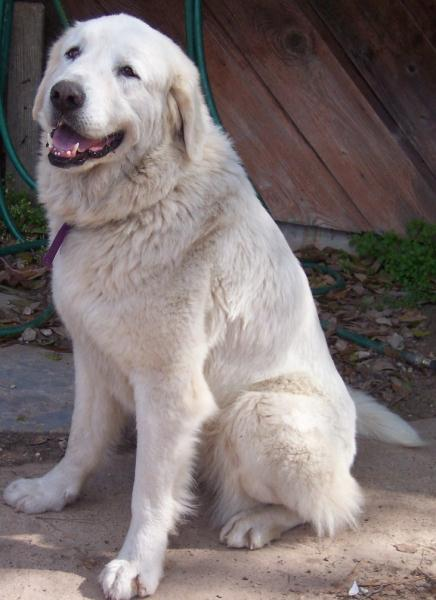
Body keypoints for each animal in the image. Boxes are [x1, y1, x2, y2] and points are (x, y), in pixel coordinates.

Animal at [3, 14, 423, 600]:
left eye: (128, 72)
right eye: (71, 55)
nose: (65, 94)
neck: (134, 208)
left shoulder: (170, 388)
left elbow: (149, 493)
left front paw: (137, 563)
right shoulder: (91, 357)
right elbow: (80, 442)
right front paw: (52, 492)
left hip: (255, 413)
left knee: (338, 504)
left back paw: (256, 522)